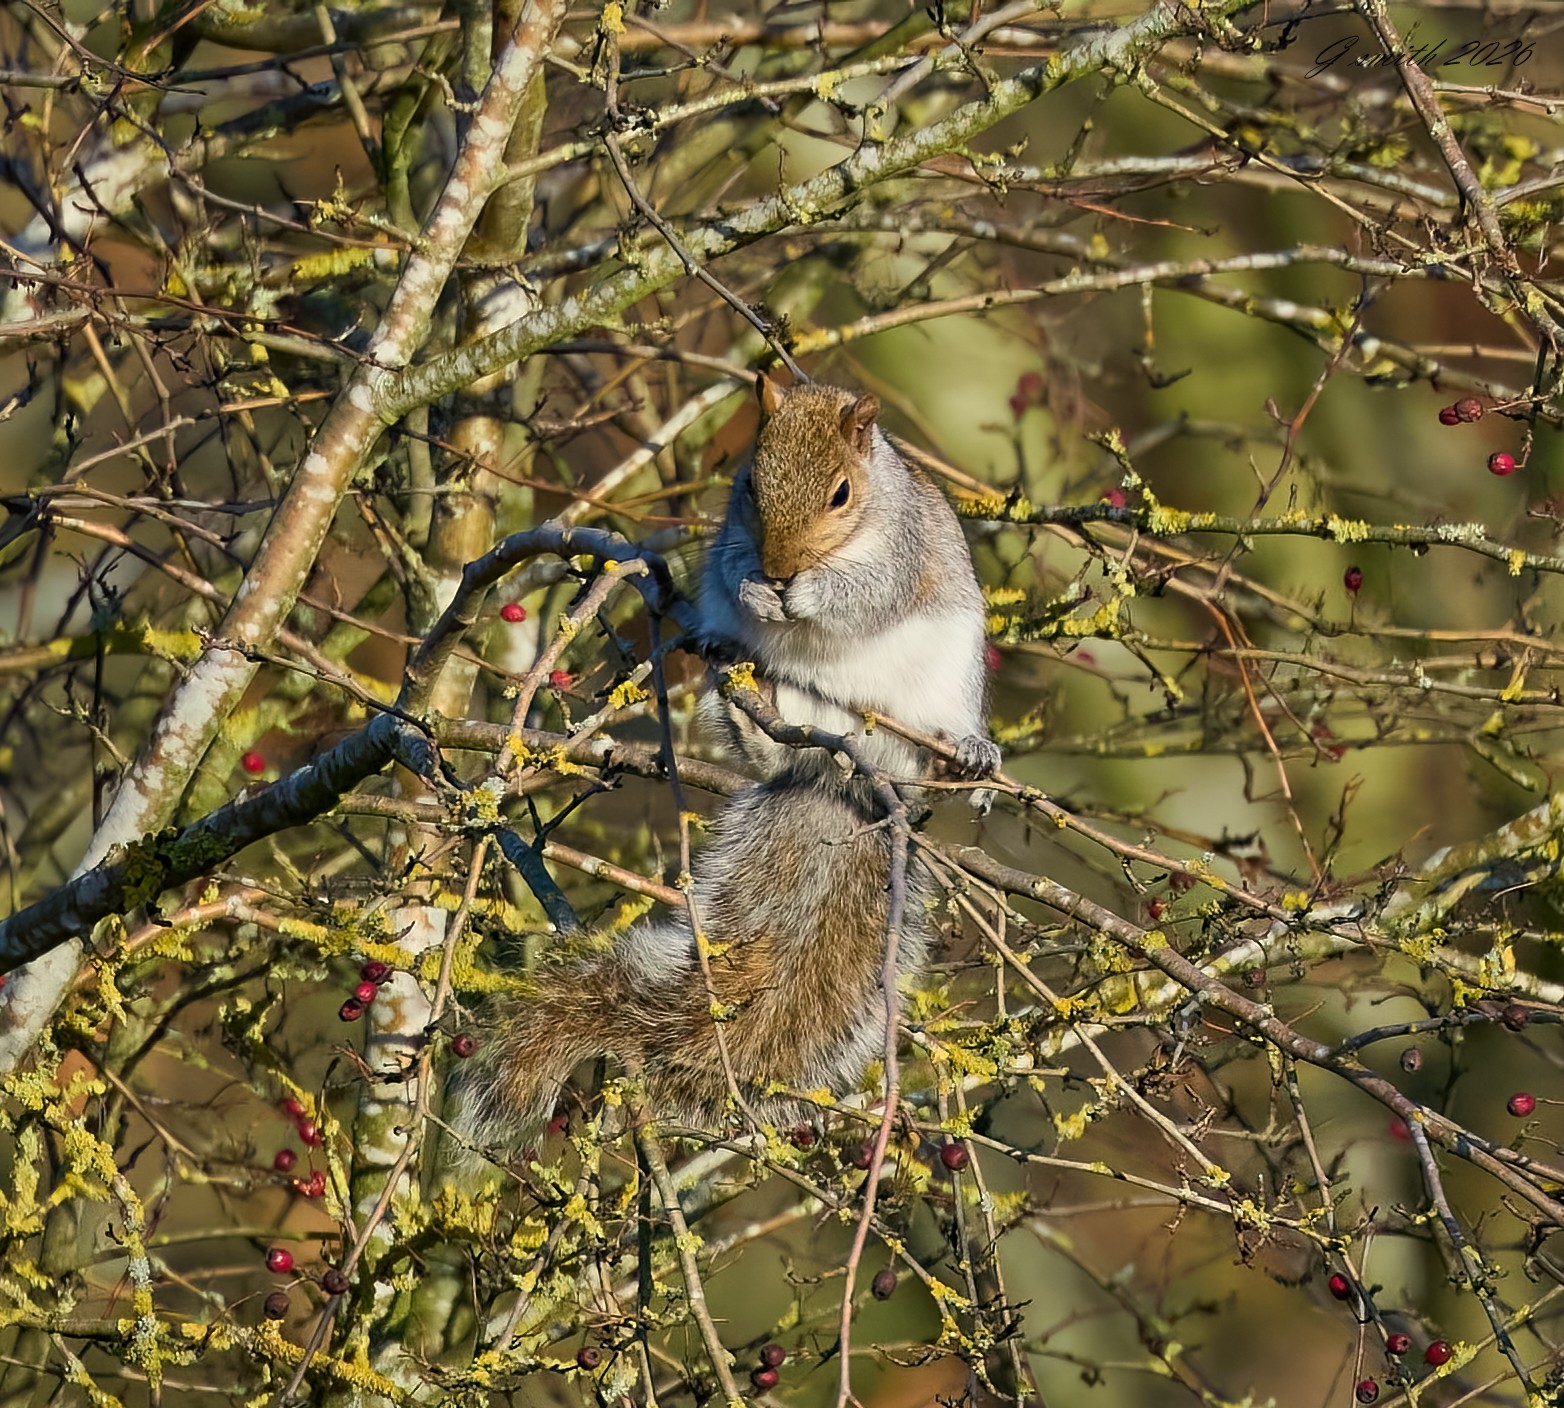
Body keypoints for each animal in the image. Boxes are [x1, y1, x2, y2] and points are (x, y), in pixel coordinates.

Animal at [450, 376, 999, 1159]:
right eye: (748, 485)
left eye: (842, 493)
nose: (779, 569)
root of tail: (853, 773)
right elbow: (728, 568)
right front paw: (748, 590)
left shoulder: (900, 552)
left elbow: (867, 594)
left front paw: (811, 593)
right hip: (794, 709)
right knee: (773, 751)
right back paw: (745, 700)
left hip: (942, 696)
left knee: (932, 754)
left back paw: (966, 761)